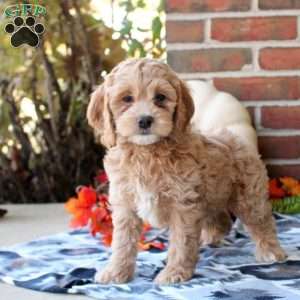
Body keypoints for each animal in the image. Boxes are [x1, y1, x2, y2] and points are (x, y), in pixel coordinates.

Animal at [86, 58, 286, 284]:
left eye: (160, 97)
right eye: (127, 98)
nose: (145, 120)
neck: (147, 152)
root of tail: (237, 138)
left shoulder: (182, 204)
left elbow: (181, 242)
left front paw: (174, 273)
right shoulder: (125, 204)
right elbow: (122, 242)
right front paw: (116, 272)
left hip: (248, 196)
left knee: (261, 222)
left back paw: (271, 252)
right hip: (211, 195)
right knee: (221, 219)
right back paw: (210, 239)